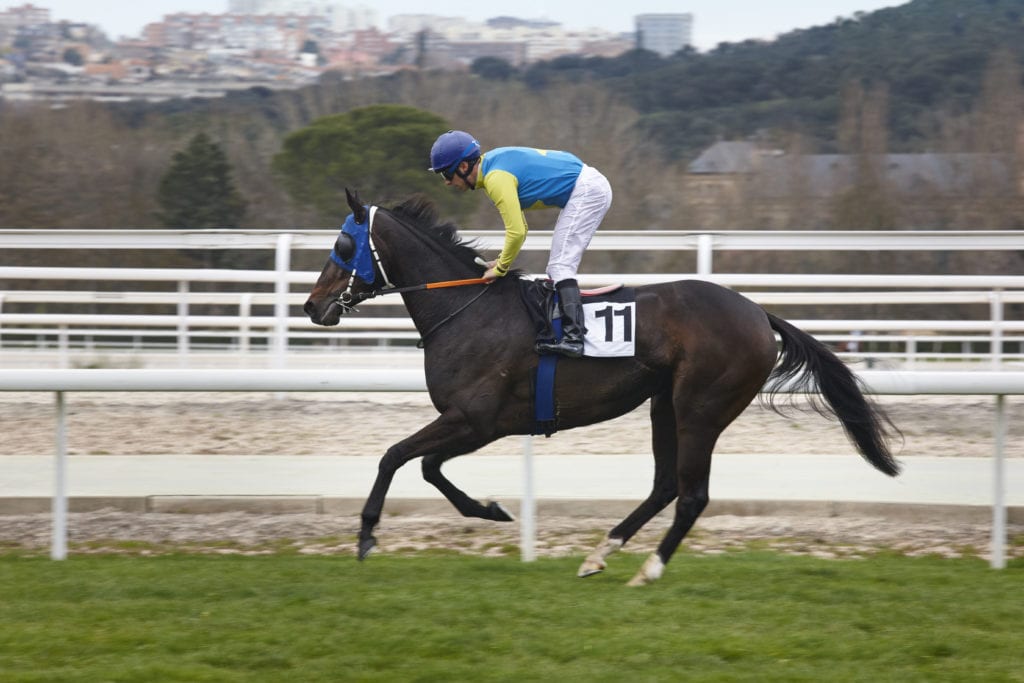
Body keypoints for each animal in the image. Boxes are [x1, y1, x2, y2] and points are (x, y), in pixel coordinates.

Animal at [301, 188, 897, 589]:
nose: (311, 306)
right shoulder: (479, 424)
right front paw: (492, 510)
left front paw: (367, 535)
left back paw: (648, 570)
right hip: (664, 404)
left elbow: (396, 456)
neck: (466, 308)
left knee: (692, 494)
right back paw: (600, 553)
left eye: (344, 244)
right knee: (665, 485)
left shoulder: (476, 419)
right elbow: (425, 467)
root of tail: (757, 312)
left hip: (701, 407)